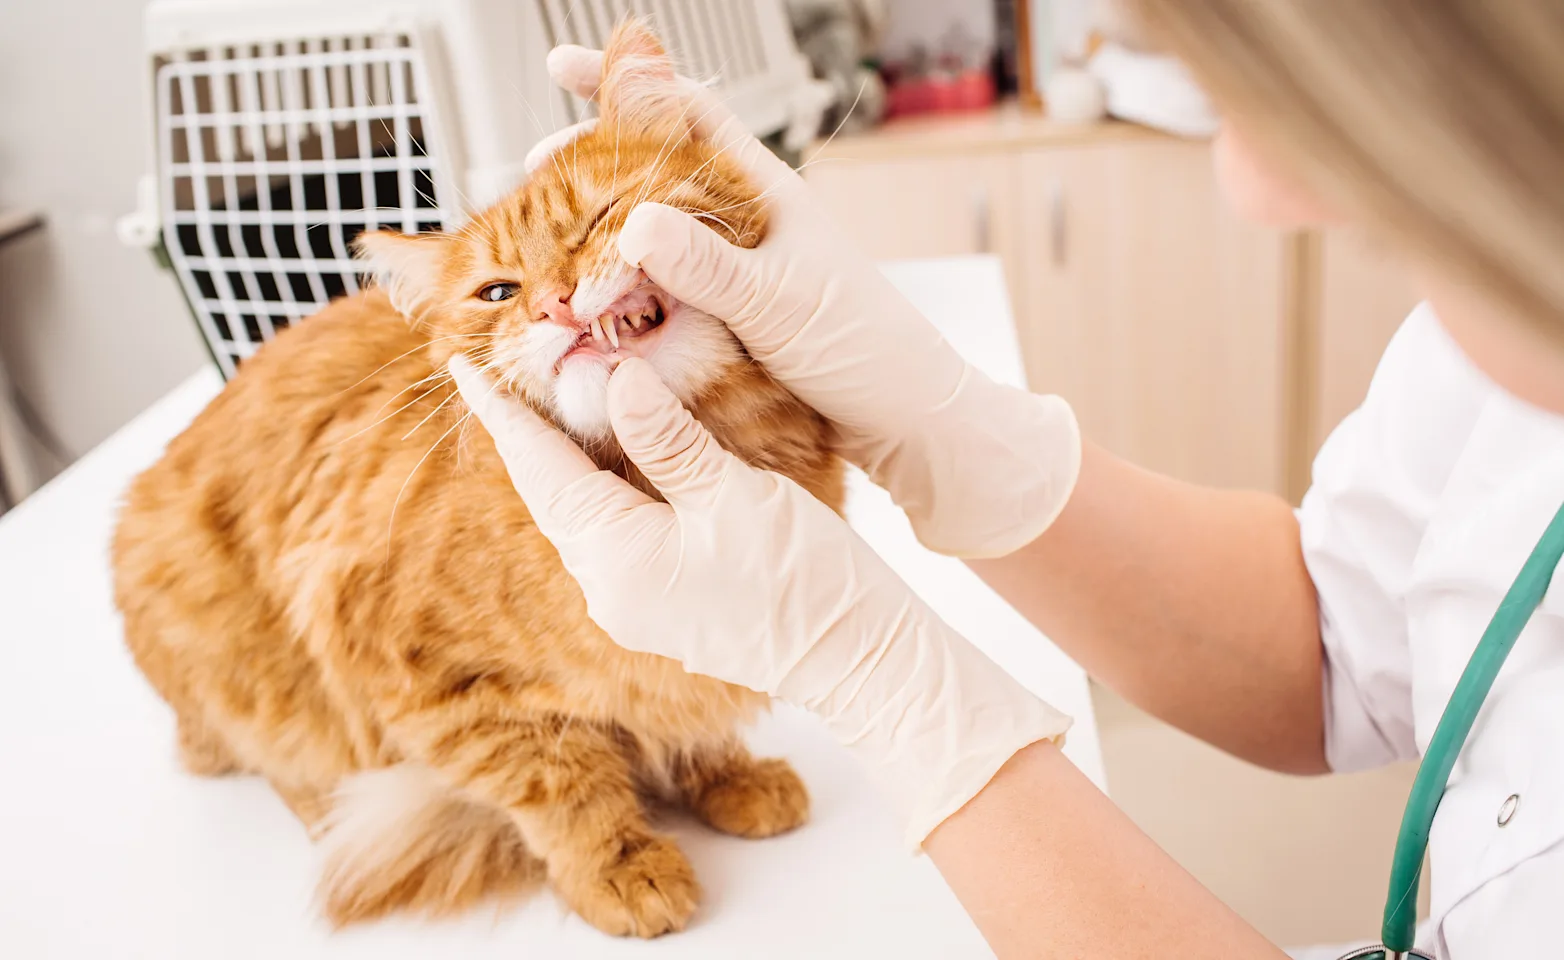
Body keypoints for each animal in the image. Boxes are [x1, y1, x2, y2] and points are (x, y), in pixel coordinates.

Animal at [114, 20, 844, 938]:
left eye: (599, 220)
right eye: (499, 292)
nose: (555, 304)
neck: (666, 491)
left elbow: (689, 718)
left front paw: (727, 775)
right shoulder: (430, 682)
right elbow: (560, 785)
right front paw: (620, 865)